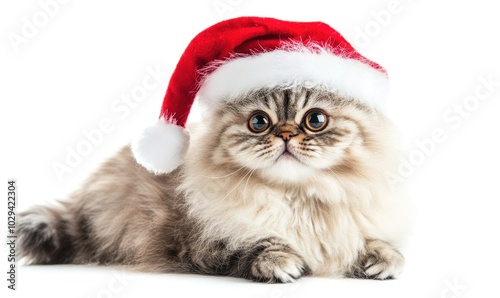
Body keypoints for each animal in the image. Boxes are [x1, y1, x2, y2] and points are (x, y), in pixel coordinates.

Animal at [18, 85, 410, 282]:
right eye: (259, 123)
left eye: (315, 120)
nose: (284, 135)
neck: (295, 198)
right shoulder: (203, 245)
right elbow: (257, 245)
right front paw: (283, 263)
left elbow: (376, 242)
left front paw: (383, 260)